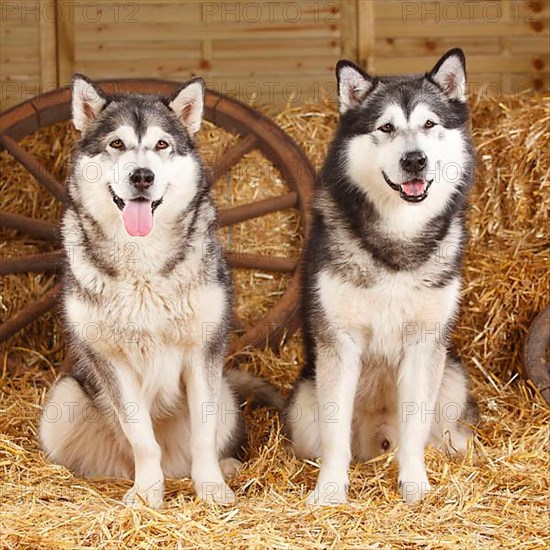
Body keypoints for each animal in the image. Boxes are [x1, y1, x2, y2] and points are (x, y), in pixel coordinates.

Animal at [40, 75, 280, 512]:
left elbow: (203, 437)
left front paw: (212, 488)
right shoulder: (111, 360)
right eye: (116, 144)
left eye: (162, 145)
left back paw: (227, 467)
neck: (143, 267)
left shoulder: (202, 352)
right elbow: (141, 439)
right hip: (61, 402)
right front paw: (148, 493)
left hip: (225, 394)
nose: (142, 176)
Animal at [286, 49, 480, 506]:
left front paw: (415, 486)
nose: (414, 160)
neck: (399, 238)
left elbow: (414, 431)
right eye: (386, 127)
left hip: (452, 377)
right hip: (303, 403)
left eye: (429, 124)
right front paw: (330, 492)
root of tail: (376, 442)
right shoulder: (339, 343)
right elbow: (335, 435)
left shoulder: (424, 344)